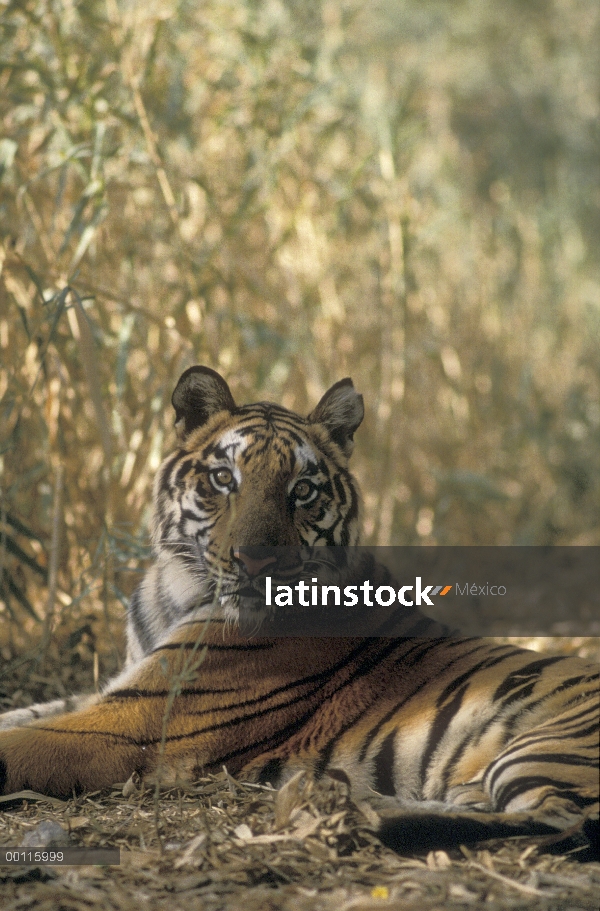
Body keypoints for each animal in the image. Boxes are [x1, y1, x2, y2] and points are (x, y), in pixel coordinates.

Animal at [0, 366, 596, 864]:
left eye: (302, 490)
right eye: (224, 479)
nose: (256, 559)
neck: (177, 588)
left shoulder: (133, 722)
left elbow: (19, 744)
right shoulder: (112, 690)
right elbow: (19, 715)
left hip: (547, 747)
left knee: (560, 822)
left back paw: (343, 807)